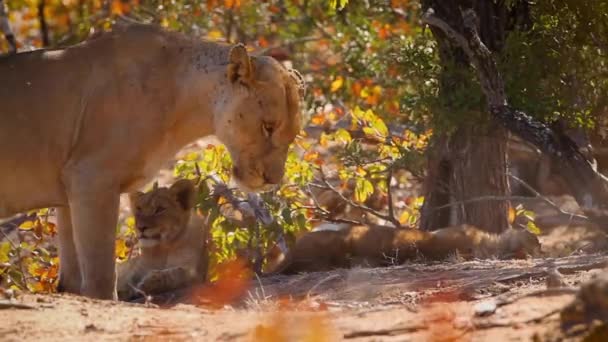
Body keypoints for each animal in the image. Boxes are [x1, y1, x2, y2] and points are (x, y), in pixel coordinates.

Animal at [0, 22, 304, 300]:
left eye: (292, 135)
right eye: (267, 127)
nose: (272, 180)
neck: (185, 102)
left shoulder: (67, 194)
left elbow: (72, 282)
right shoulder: (90, 179)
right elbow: (100, 279)